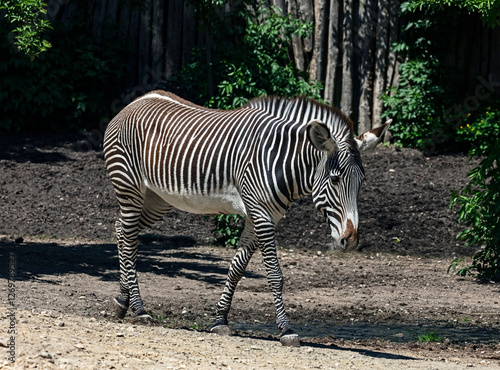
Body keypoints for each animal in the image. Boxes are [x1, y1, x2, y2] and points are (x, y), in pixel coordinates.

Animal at [102, 90, 390, 346]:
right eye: (335, 179)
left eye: (362, 182)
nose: (350, 241)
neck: (280, 161)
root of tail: (135, 102)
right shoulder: (261, 212)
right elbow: (274, 274)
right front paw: (286, 329)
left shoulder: (263, 215)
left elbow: (237, 268)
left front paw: (220, 320)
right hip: (130, 187)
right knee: (128, 236)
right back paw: (139, 308)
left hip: (156, 199)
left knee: (123, 231)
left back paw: (122, 300)